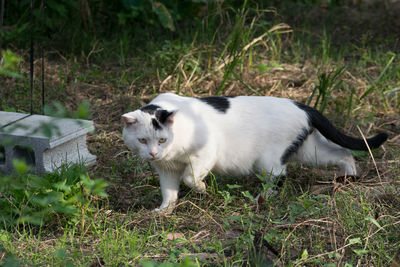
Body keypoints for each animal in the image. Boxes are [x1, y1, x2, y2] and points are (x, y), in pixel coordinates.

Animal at [122, 93, 388, 215]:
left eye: (163, 139)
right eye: (142, 140)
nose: (153, 153)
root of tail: (301, 106)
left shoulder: (206, 153)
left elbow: (189, 177)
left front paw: (202, 189)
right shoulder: (165, 169)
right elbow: (169, 191)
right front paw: (164, 211)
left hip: (269, 160)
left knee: (279, 177)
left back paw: (260, 200)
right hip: (311, 151)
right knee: (343, 152)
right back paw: (349, 178)